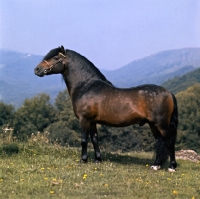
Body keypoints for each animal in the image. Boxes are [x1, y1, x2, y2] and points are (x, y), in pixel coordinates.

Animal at [34, 45, 178, 172]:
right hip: (153, 125)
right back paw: (156, 165)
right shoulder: (92, 121)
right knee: (160, 142)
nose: (37, 69)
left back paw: (172, 167)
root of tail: (169, 93)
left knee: (169, 141)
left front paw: (83, 160)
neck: (86, 86)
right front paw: (98, 160)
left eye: (55, 58)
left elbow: (84, 140)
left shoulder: (84, 120)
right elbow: (95, 139)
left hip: (161, 124)